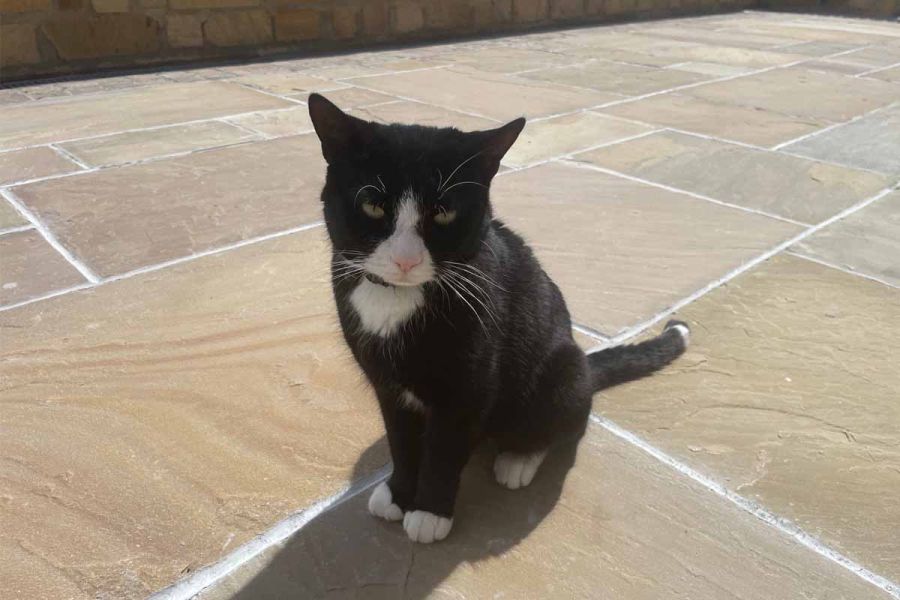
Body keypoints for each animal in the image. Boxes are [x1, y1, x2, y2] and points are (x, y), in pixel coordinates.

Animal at [308, 94, 688, 544]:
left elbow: (444, 449)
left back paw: (517, 460)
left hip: (561, 370)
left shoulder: (471, 382)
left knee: (562, 422)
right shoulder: (387, 384)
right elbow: (402, 440)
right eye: (372, 205)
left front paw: (430, 511)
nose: (405, 260)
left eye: (444, 213)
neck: (397, 300)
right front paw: (399, 493)